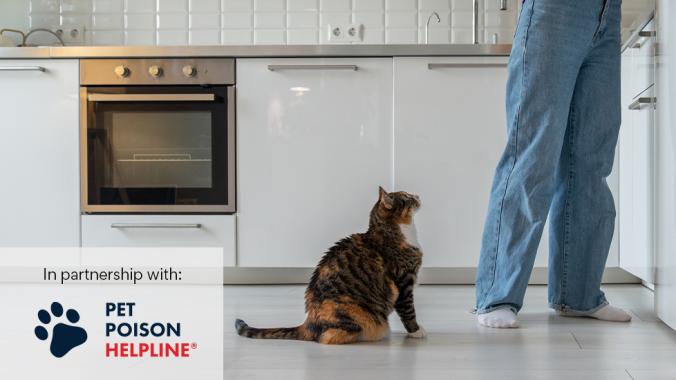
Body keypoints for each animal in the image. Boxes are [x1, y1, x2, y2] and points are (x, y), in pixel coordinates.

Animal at [235, 187, 426, 344]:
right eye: (407, 196)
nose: (417, 195)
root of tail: (308, 322)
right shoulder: (404, 282)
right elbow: (408, 310)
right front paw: (416, 332)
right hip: (354, 313)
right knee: (326, 338)